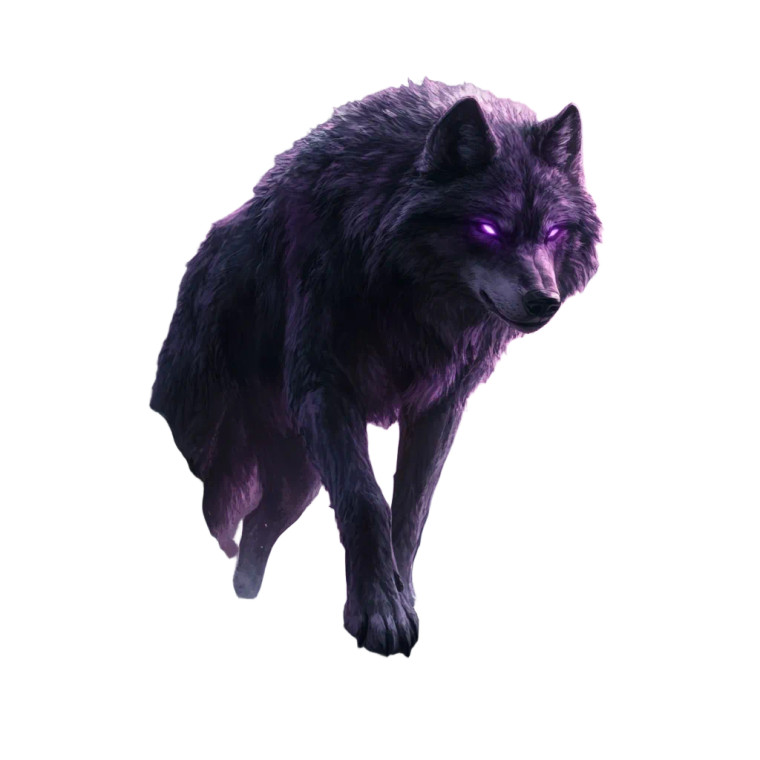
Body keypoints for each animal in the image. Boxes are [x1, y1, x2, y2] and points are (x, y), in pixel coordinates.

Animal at [150, 77, 602, 656]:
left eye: (553, 232)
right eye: (487, 228)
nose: (545, 301)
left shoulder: (438, 407)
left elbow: (410, 511)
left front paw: (401, 598)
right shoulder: (325, 391)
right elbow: (367, 503)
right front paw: (379, 615)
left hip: (295, 485)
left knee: (254, 536)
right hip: (220, 458)